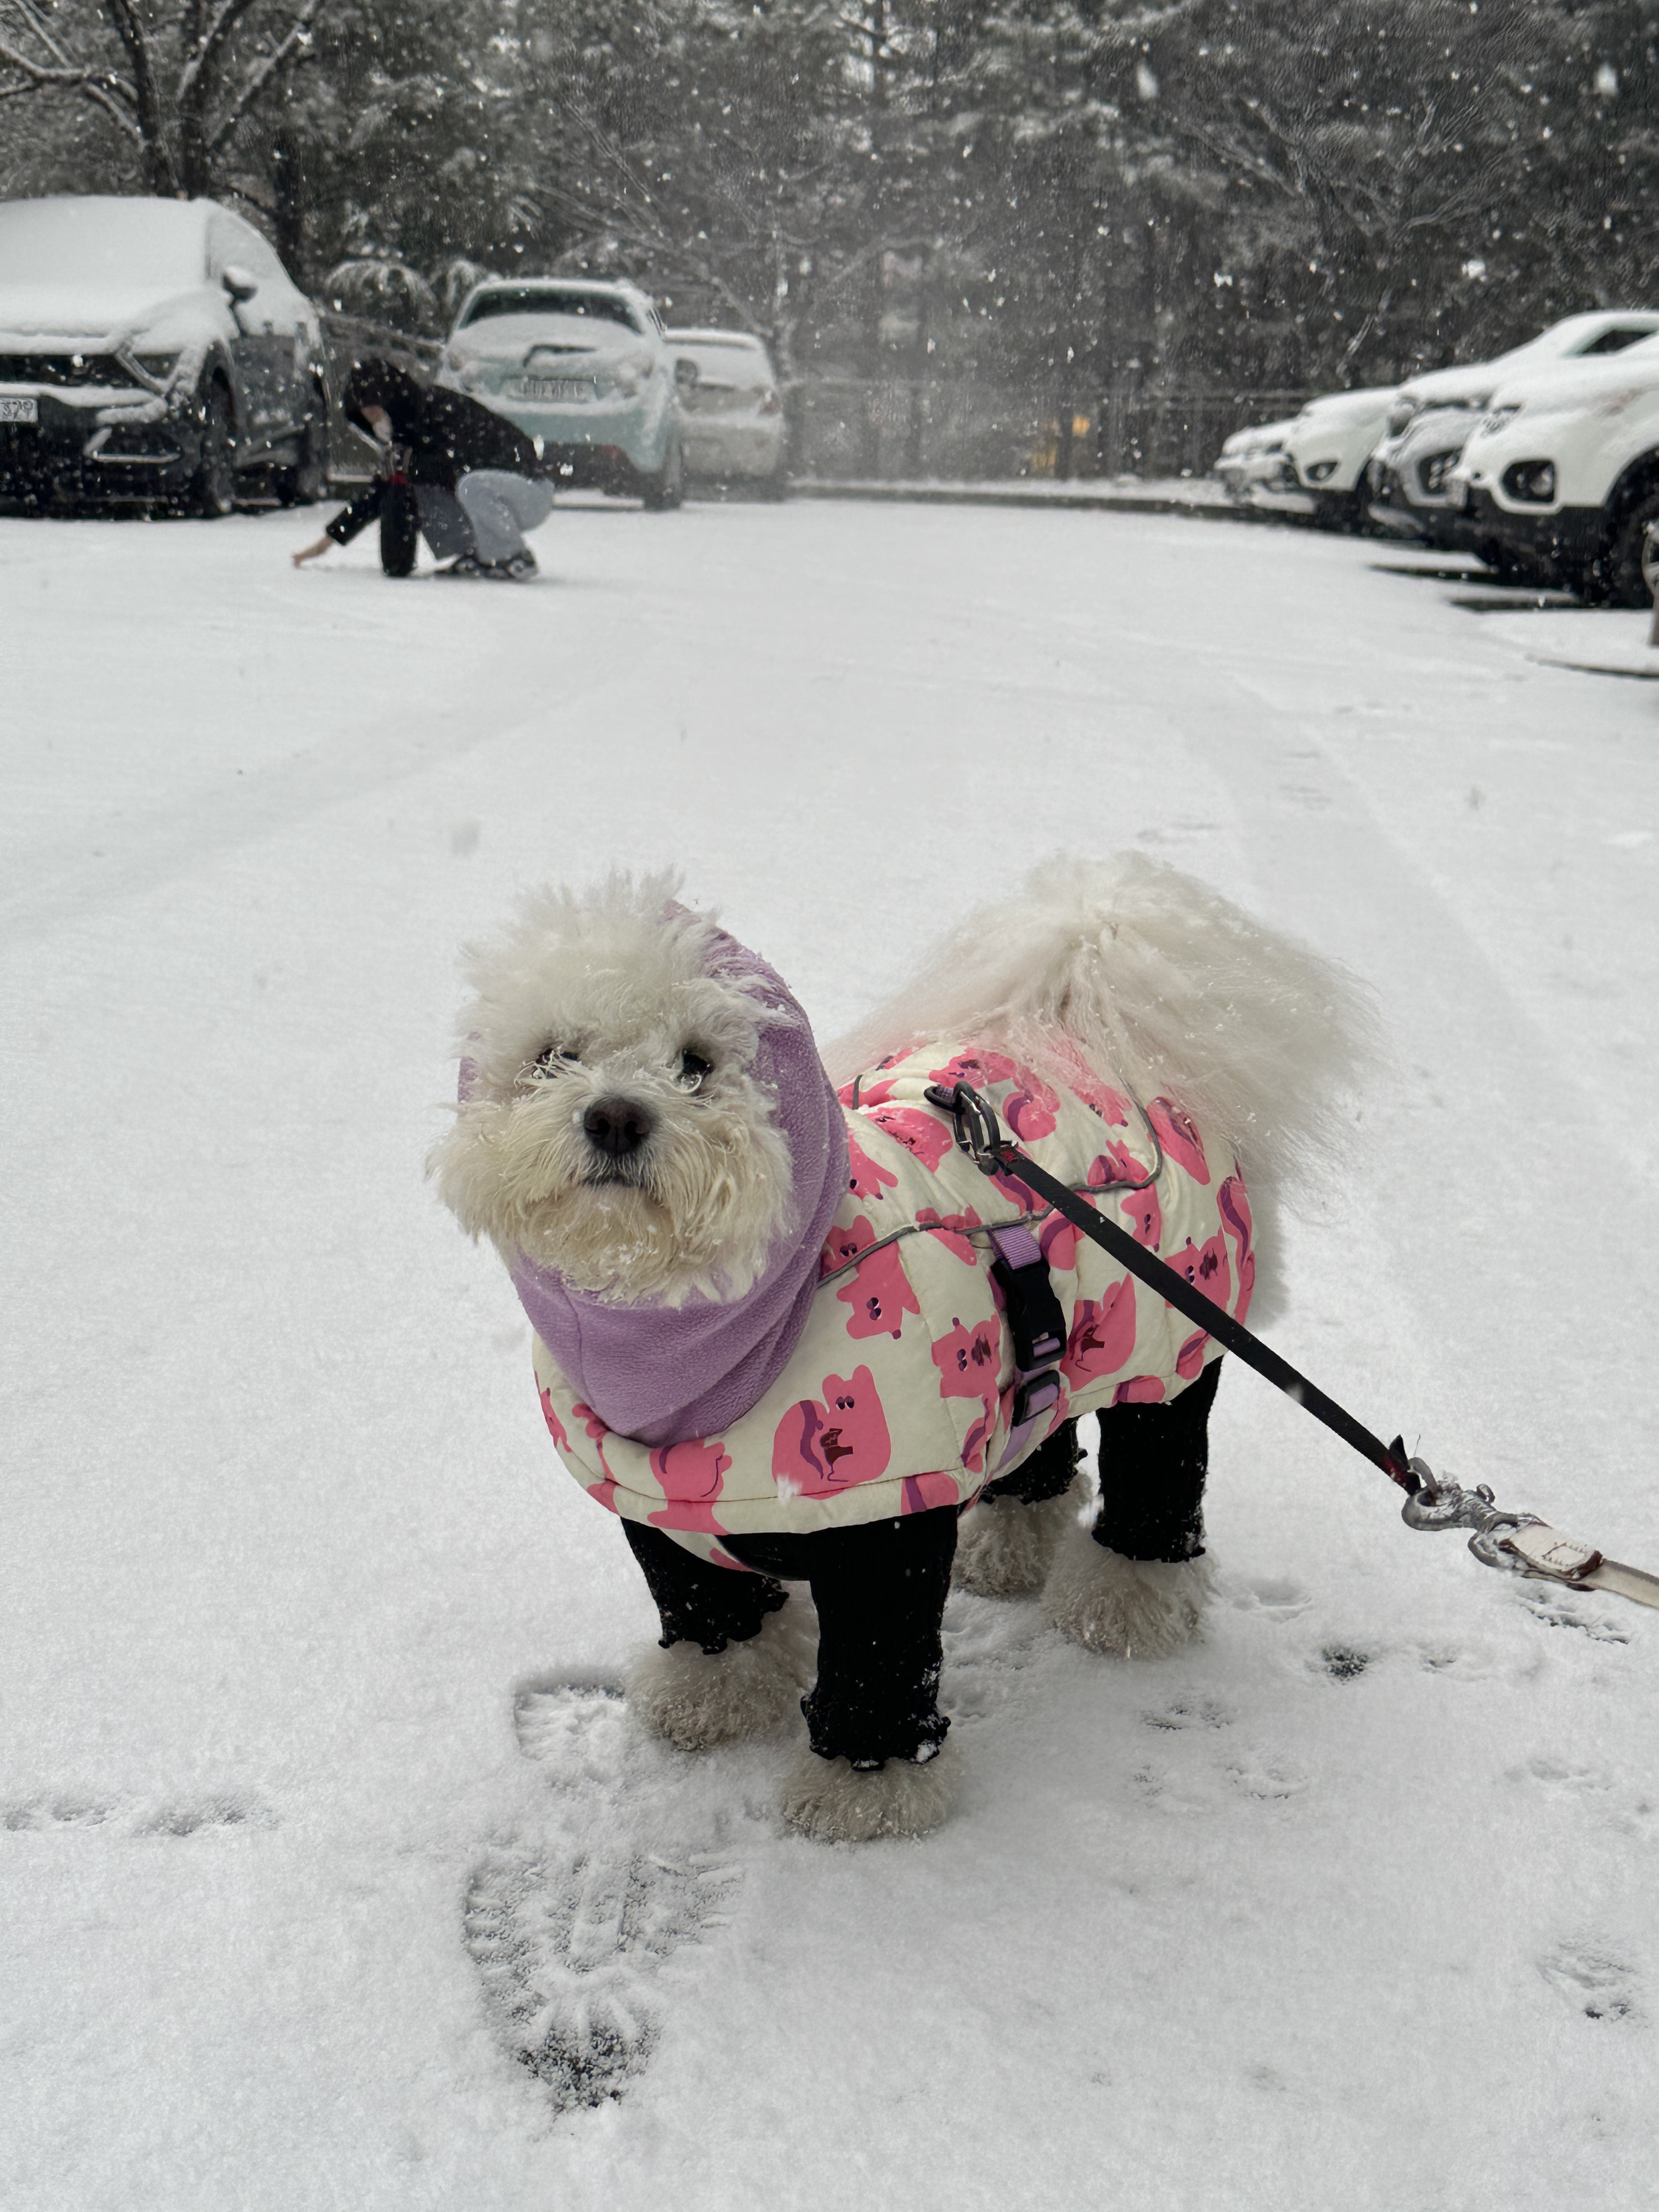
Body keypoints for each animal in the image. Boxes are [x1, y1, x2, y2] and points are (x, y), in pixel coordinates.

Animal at [431, 854, 1380, 1840]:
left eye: (697, 1064)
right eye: (552, 1057)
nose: (614, 1117)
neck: (699, 1341)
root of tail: (1104, 1036)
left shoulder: (882, 1530)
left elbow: (876, 1667)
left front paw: (862, 1798)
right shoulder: (660, 1511)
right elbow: (706, 1609)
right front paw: (711, 1699)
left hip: (1169, 1350)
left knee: (1158, 1475)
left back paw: (1126, 1604)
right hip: (1033, 1358)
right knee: (1038, 1434)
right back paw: (1011, 1545)